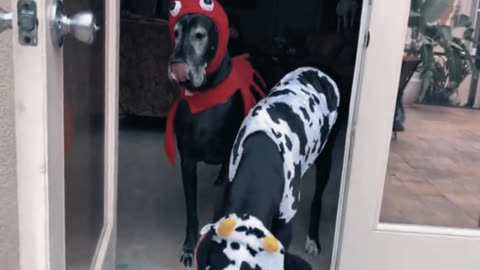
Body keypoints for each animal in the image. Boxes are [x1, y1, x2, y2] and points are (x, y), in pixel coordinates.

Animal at [167, 0, 266, 266]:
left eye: (199, 35)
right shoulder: (187, 161)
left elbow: (221, 213)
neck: (206, 95)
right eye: (175, 33)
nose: (177, 67)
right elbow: (192, 213)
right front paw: (190, 246)